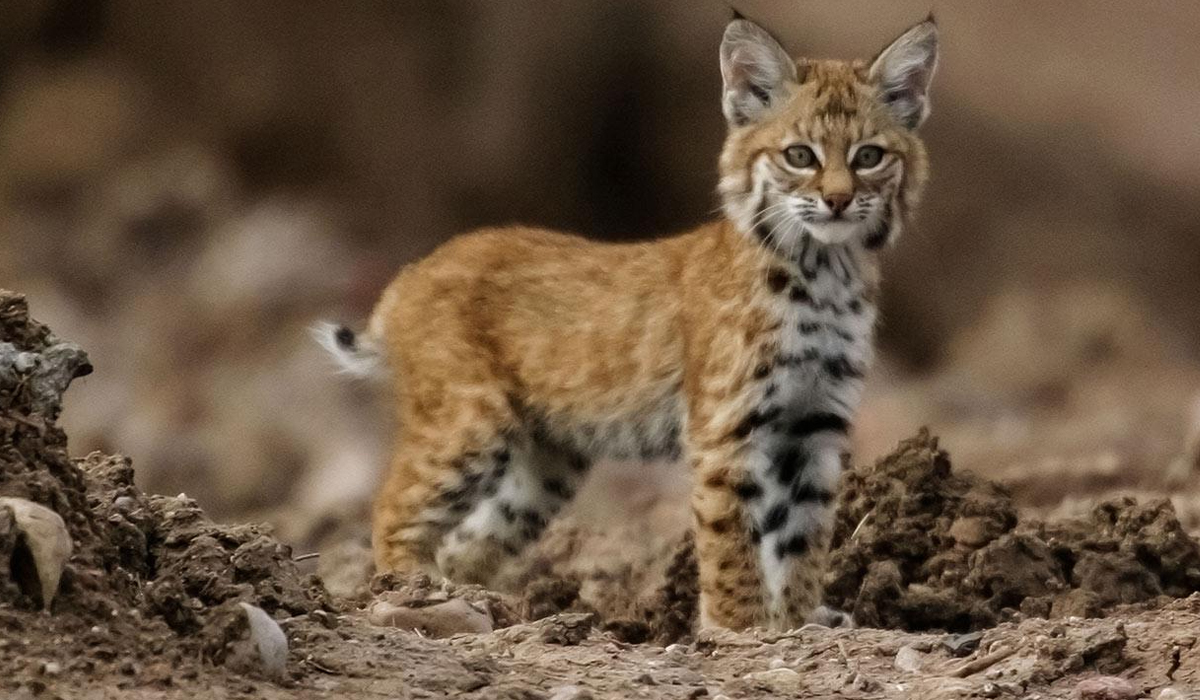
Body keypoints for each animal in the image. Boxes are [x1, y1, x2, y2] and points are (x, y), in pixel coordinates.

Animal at [324, 15, 940, 629]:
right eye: (799, 156)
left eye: (868, 157)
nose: (837, 201)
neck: (824, 269)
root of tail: (413, 270)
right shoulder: (727, 428)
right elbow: (733, 538)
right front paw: (738, 627)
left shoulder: (815, 423)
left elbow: (805, 536)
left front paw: (797, 620)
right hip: (469, 418)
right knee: (391, 505)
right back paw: (412, 589)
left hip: (547, 462)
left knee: (472, 538)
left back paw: (485, 600)